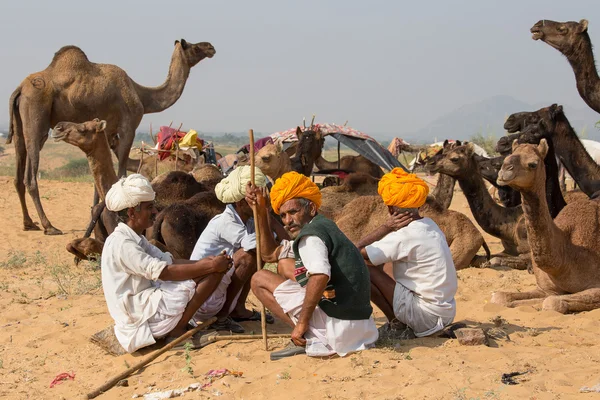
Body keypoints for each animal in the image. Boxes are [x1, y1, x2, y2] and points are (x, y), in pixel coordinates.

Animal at [8, 39, 216, 234]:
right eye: (194, 47)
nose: (210, 47)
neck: (141, 95)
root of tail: (20, 89)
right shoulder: (128, 127)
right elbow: (121, 170)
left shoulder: (107, 132)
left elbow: (97, 177)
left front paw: (94, 213)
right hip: (36, 115)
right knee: (30, 175)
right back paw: (49, 226)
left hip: (20, 125)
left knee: (18, 172)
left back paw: (29, 223)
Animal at [492, 140, 600, 312]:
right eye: (507, 157)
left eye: (532, 164)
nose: (504, 170)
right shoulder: (545, 288)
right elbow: (499, 297)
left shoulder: (596, 285)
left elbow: (551, 302)